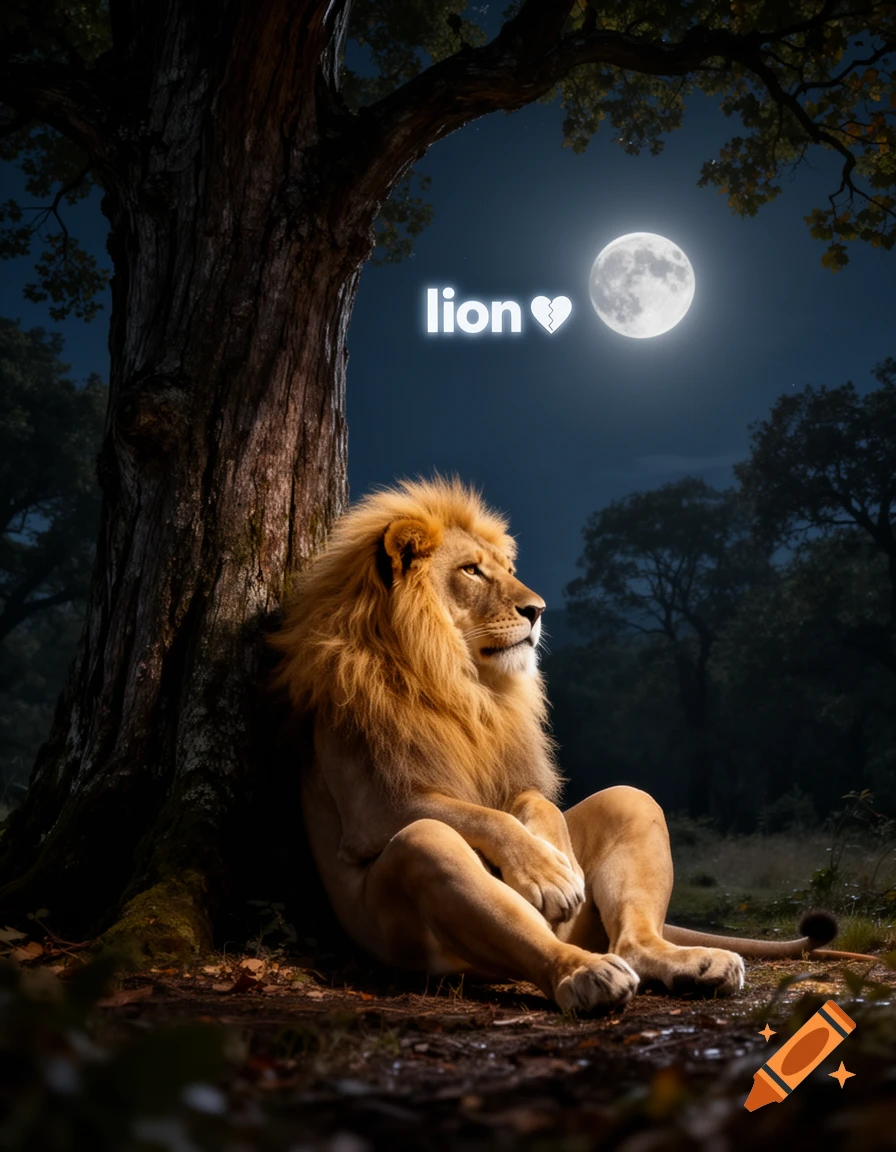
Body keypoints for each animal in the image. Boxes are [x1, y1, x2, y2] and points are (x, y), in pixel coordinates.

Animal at [271, 476, 873, 1013]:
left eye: (509, 571)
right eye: (471, 570)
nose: (537, 610)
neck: (459, 682)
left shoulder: (512, 772)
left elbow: (529, 802)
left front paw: (558, 858)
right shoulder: (371, 804)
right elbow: (480, 814)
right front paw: (549, 876)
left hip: (620, 845)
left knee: (633, 909)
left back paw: (695, 963)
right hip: (419, 920)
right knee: (440, 849)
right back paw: (585, 976)